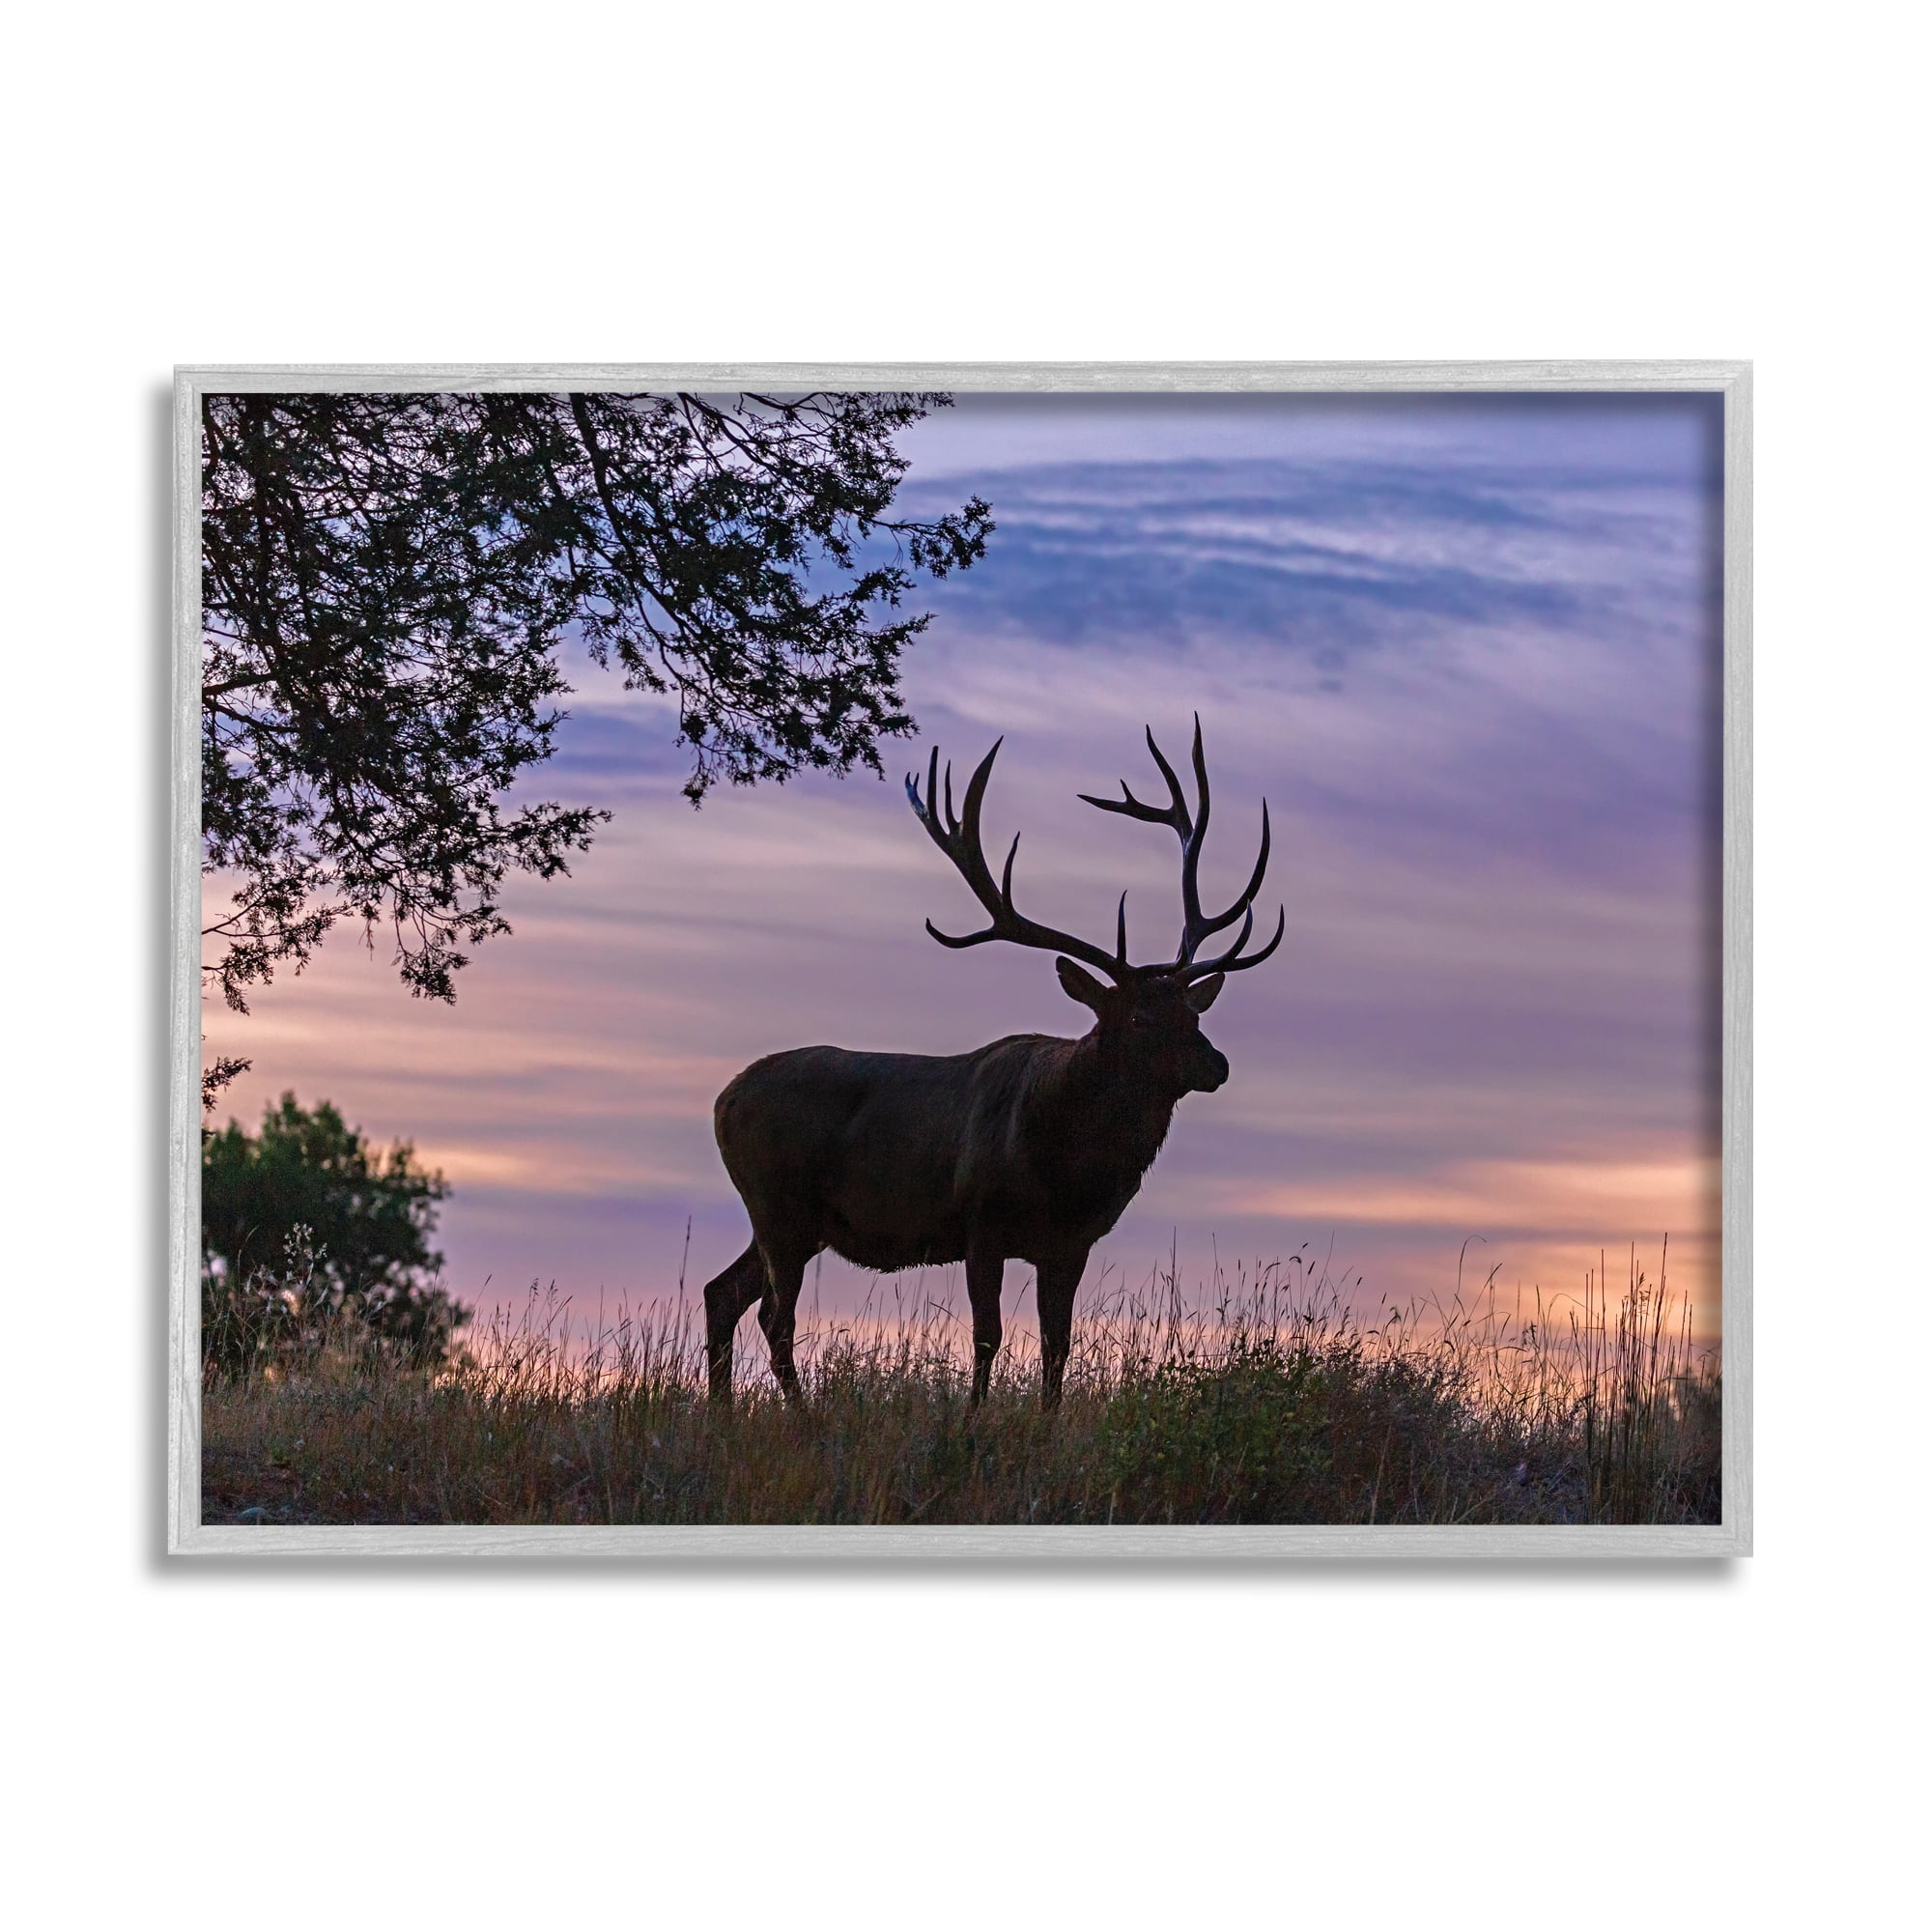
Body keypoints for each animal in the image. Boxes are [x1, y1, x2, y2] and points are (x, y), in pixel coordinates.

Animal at [701, 718, 1283, 1411]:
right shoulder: (980, 1223)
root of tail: (722, 1099)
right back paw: (802, 1417)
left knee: (722, 1292)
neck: (1069, 1169)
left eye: (1193, 1014)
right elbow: (987, 1335)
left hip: (793, 1219)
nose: (1217, 1065)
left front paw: (1047, 1424)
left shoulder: (1070, 1243)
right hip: (776, 1203)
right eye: (1141, 1019)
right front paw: (973, 1421)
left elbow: (1058, 1344)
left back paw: (723, 1412)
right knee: (774, 1315)